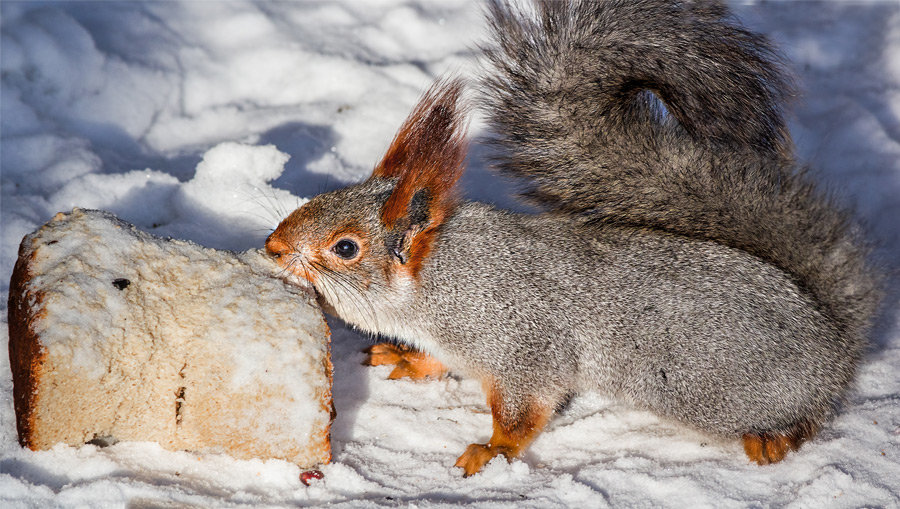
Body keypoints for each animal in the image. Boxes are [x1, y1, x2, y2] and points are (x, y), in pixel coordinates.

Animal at [264, 0, 884, 476]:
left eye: (346, 248)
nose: (273, 247)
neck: (443, 279)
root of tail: (834, 339)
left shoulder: (521, 344)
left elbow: (524, 412)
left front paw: (492, 451)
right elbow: (440, 363)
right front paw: (407, 359)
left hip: (720, 393)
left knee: (808, 416)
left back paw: (776, 438)